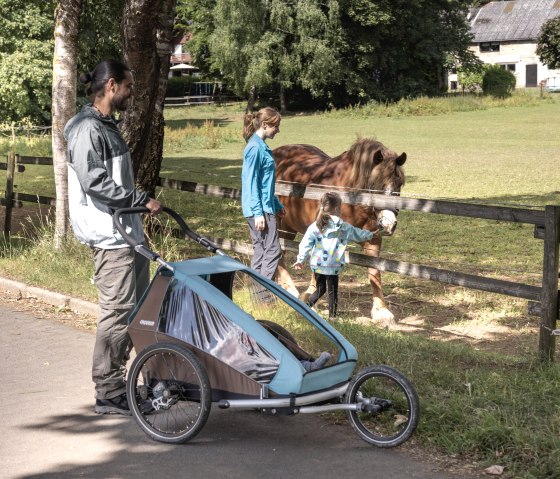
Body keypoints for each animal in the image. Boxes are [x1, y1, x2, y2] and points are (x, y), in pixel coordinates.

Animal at [274, 139, 404, 326]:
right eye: (377, 186)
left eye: (399, 184)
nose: (388, 224)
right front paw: (310, 297)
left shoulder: (372, 239)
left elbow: (374, 272)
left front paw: (382, 312)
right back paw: (290, 289)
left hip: (288, 227)